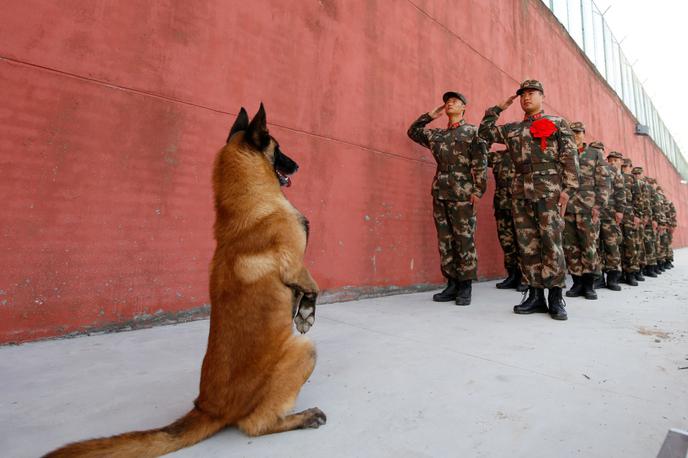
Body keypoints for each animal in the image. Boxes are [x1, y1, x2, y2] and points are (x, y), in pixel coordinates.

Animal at [45, 104, 326, 458]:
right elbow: (312, 283)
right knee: (256, 424)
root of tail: (208, 408)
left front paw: (304, 311)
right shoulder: (294, 265)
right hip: (302, 352)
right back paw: (302, 417)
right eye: (279, 148)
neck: (250, 203)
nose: (298, 164)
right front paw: (307, 313)